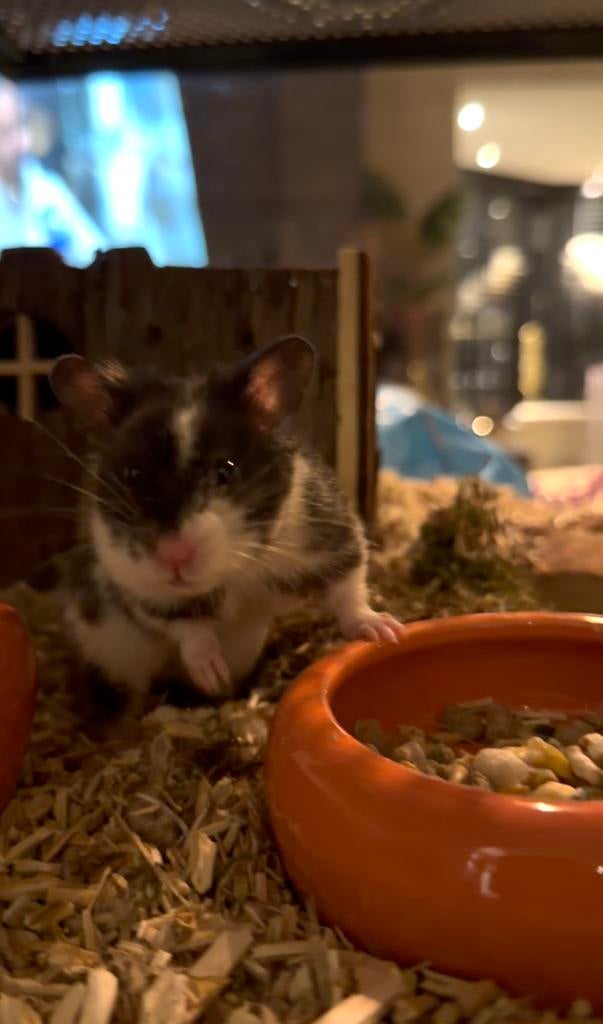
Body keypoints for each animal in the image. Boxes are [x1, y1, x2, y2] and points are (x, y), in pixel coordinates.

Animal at [50, 335, 402, 714]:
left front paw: (386, 632)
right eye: (132, 475)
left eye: (226, 470)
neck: (234, 572)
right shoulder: (143, 593)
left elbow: (348, 591)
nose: (173, 556)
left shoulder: (336, 538)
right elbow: (190, 630)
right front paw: (213, 677)